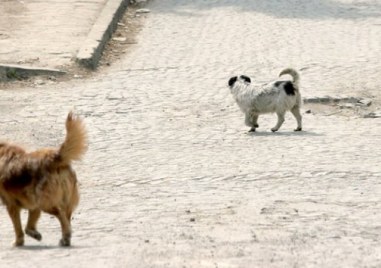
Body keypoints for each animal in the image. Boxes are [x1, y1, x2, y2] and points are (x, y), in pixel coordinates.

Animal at [0, 111, 87, 247]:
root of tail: (55, 158)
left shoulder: (11, 205)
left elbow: (18, 227)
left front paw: (18, 242)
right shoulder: (33, 205)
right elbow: (29, 225)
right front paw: (34, 234)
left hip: (46, 203)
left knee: (61, 215)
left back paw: (66, 237)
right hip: (60, 201)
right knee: (66, 218)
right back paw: (65, 239)